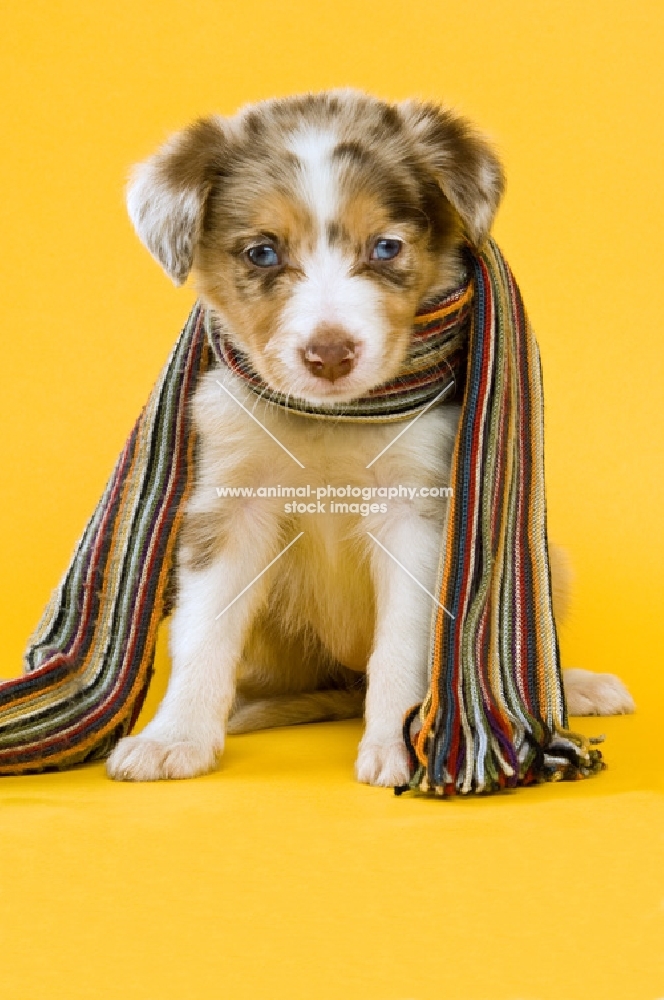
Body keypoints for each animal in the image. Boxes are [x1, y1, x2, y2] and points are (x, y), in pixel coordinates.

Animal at [106, 90, 636, 784]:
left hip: (551, 564)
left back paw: (568, 693)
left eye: (385, 247)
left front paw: (409, 745)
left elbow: (405, 646)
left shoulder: (417, 508)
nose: (330, 355)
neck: (335, 417)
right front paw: (175, 737)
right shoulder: (229, 499)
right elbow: (204, 630)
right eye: (262, 253)